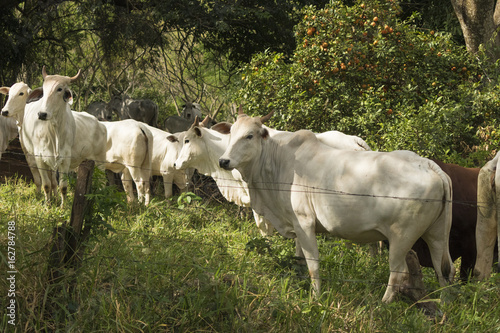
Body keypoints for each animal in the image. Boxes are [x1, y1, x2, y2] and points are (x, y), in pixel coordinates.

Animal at [217, 111, 456, 300]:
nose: (223, 161)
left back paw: (383, 304)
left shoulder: (304, 223)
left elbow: (313, 264)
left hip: (402, 237)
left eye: (249, 136)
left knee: (399, 272)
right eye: (230, 133)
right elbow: (299, 260)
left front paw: (316, 297)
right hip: (436, 234)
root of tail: (427, 164)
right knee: (444, 269)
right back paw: (444, 305)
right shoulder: (295, 225)